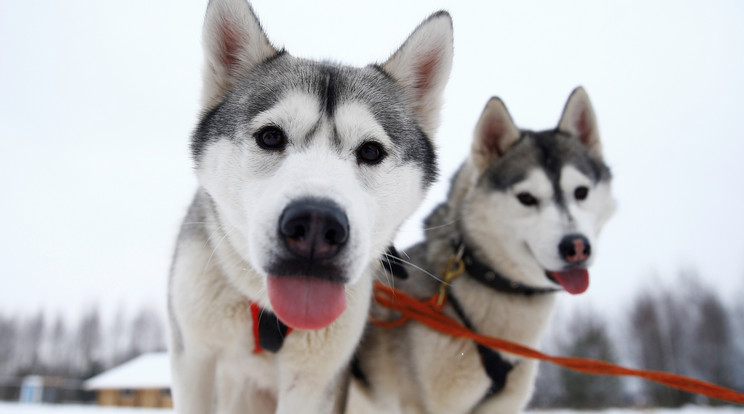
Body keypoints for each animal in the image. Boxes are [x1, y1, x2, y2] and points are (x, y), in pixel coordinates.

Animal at [170, 1, 454, 412]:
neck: (269, 316)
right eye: (271, 136)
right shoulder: (193, 359)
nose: (317, 225)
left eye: (371, 151)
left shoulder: (313, 383)